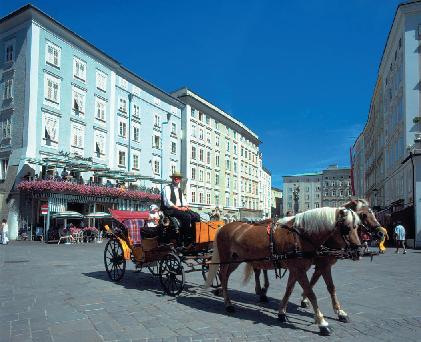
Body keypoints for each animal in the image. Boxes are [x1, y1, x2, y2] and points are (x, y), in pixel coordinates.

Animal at [204, 204, 360, 336]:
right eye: (346, 228)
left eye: (357, 227)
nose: (358, 250)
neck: (301, 236)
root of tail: (222, 227)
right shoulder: (302, 269)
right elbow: (311, 293)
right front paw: (322, 322)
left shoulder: (298, 269)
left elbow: (291, 289)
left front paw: (282, 313)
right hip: (226, 258)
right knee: (223, 276)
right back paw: (228, 304)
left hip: (235, 260)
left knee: (225, 276)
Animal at [246, 199, 380, 324]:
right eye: (363, 215)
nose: (380, 233)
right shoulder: (320, 264)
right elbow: (317, 285)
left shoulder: (322, 265)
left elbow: (321, 284)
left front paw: (336, 311)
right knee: (257, 270)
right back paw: (261, 291)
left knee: (263, 269)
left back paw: (264, 291)